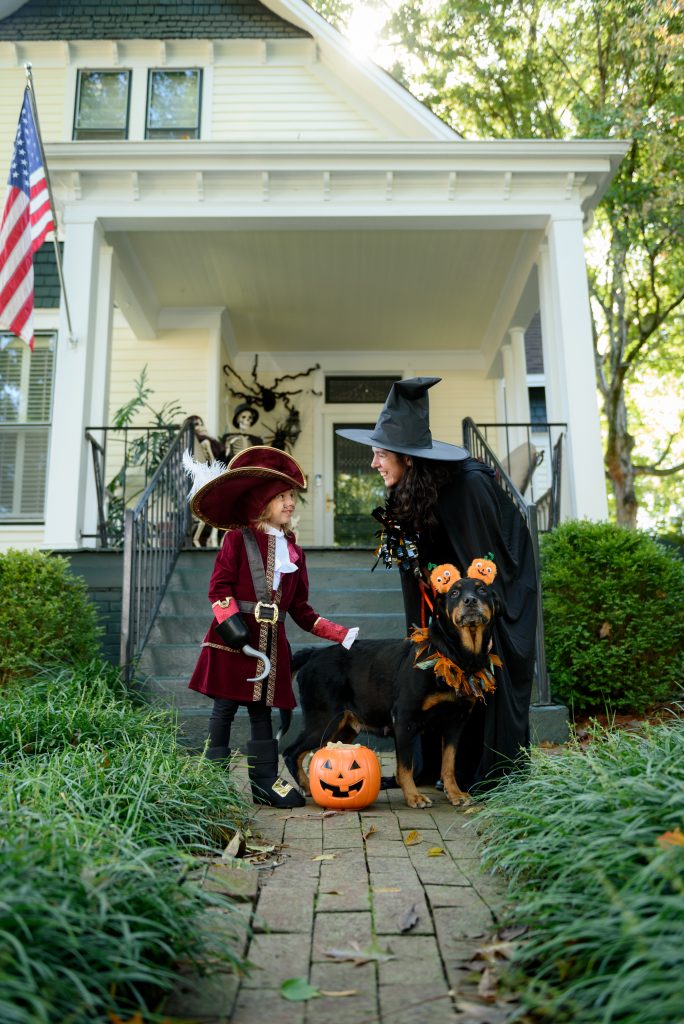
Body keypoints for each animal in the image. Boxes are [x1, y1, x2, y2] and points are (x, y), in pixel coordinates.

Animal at [282, 561, 501, 806]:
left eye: (482, 590)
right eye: (454, 593)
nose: (470, 600)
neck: (455, 655)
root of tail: (313, 654)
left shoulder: (456, 721)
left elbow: (448, 763)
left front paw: (455, 793)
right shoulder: (405, 717)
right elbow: (405, 765)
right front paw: (414, 796)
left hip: (343, 727)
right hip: (324, 719)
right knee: (292, 752)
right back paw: (305, 786)